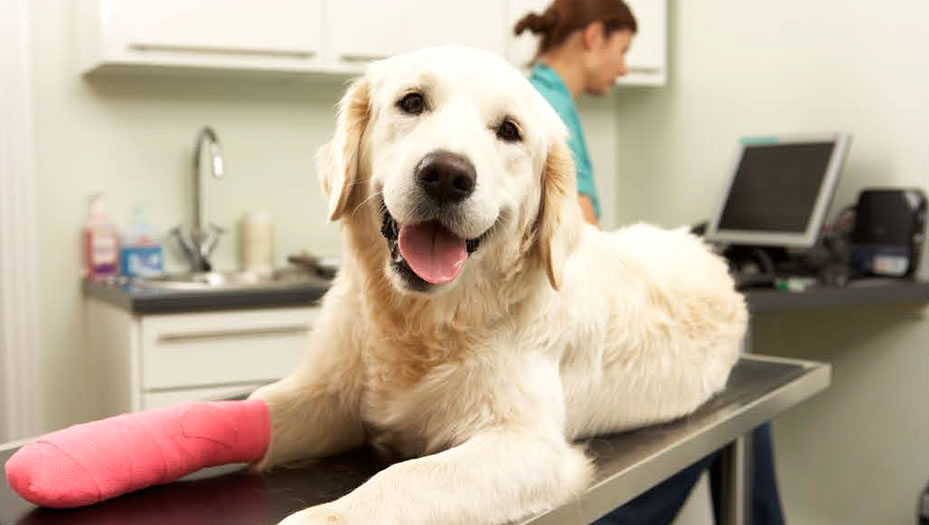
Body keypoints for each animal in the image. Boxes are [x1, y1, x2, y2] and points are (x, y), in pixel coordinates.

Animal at [248, 46, 748, 524]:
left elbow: (402, 479)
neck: (423, 321)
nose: (447, 175)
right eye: (412, 102)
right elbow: (260, 406)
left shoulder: (529, 445)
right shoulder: (329, 394)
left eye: (510, 131)